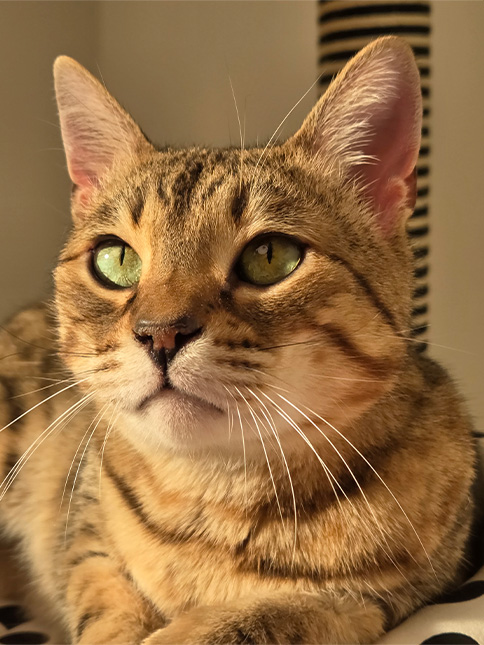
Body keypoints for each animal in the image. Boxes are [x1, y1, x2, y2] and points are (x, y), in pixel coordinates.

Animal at [0, 36, 478, 644]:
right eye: (115, 259)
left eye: (269, 256)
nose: (160, 332)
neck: (213, 500)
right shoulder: (87, 544)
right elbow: (107, 610)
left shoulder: (368, 601)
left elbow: (253, 618)